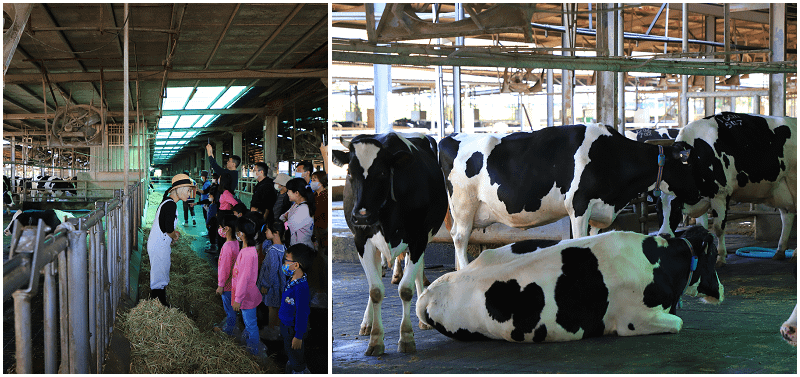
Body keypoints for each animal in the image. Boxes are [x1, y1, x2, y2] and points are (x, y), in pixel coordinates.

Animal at [328, 132, 446, 356]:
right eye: (349, 172)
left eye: (382, 172)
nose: (361, 215)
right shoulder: (361, 240)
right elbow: (375, 290)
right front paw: (375, 339)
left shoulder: (419, 238)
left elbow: (405, 289)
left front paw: (406, 337)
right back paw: (367, 323)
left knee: (418, 271)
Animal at [440, 125, 696, 270]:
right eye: (694, 166)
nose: (696, 195)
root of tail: (449, 137)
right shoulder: (578, 204)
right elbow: (580, 240)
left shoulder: (598, 210)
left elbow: (594, 240)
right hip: (464, 205)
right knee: (460, 238)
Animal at [660, 113, 796, 262]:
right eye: (657, 208)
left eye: (677, 207)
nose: (663, 235)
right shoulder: (703, 197)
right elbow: (701, 228)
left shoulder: (720, 194)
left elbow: (718, 228)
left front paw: (721, 257)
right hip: (782, 189)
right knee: (787, 216)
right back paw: (780, 251)